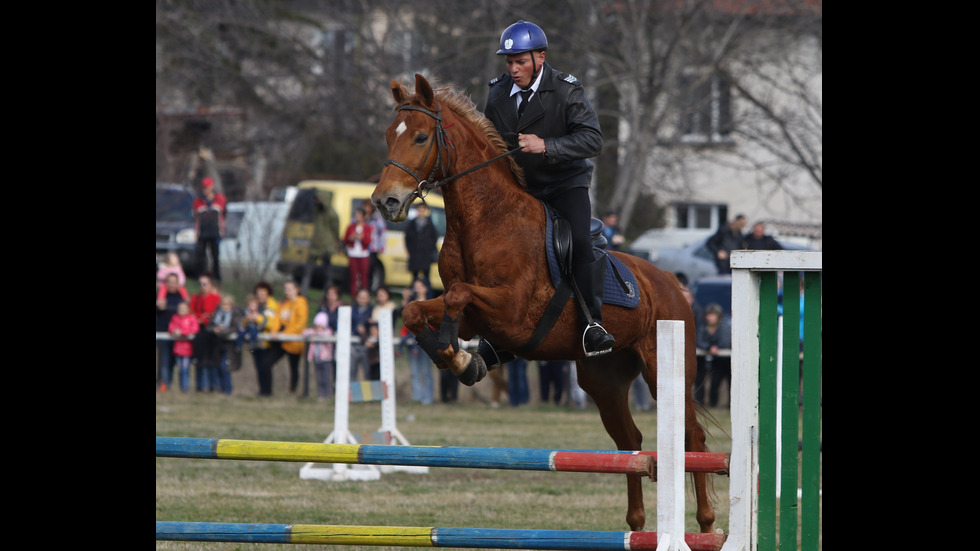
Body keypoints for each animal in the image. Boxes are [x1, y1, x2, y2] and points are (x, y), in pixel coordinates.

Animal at [372, 74, 716, 536]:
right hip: (603, 381)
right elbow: (418, 310)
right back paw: (635, 524)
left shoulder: (513, 313)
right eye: (389, 136)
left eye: (422, 137)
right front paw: (459, 358)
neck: (485, 219)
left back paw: (706, 524)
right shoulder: (473, 318)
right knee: (631, 443)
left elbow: (460, 296)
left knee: (692, 438)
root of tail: (672, 284)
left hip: (665, 371)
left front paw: (459, 359)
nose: (385, 201)